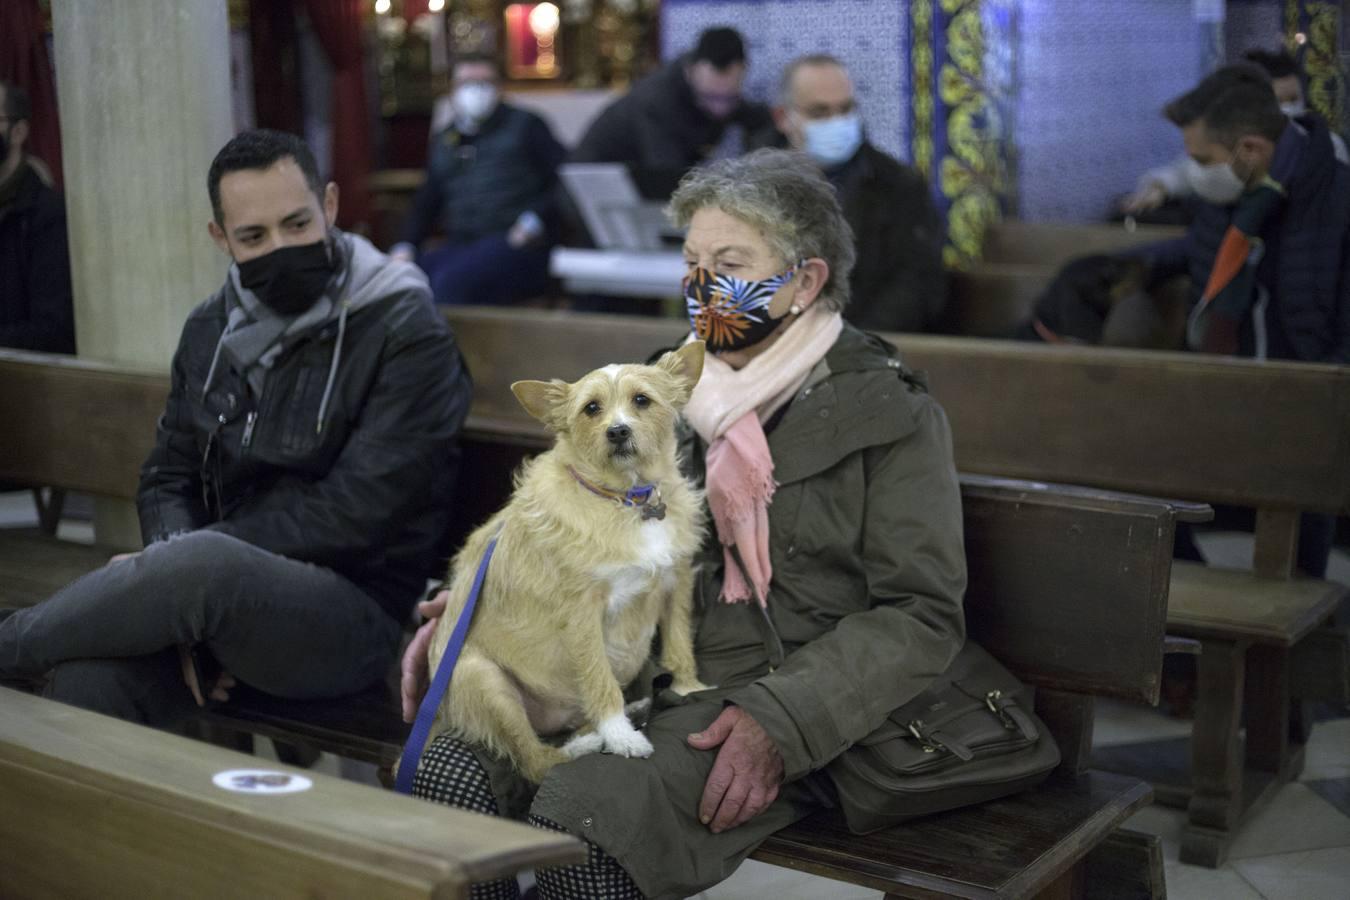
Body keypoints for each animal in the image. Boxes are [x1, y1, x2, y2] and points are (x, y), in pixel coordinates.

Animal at [426, 341, 712, 782]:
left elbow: (679, 643)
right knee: (537, 762)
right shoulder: (582, 613)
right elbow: (598, 678)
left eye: (642, 400)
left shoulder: (674, 582)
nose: (618, 431)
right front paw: (621, 737)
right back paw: (591, 742)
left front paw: (687, 688)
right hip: (483, 678)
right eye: (591, 408)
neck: (629, 499)